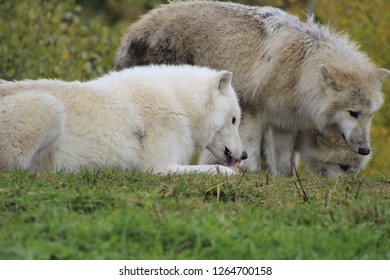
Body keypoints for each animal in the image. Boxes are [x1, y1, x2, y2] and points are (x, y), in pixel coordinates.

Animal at [0, 65, 247, 174]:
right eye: (234, 120)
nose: (245, 155)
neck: (182, 105)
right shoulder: (159, 168)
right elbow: (219, 170)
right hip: (51, 107)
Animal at [114, 0, 388, 175]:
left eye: (370, 114)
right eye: (353, 113)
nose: (365, 149)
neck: (300, 71)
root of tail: (133, 30)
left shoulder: (284, 123)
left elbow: (284, 166)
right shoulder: (254, 113)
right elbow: (249, 152)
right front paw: (250, 173)